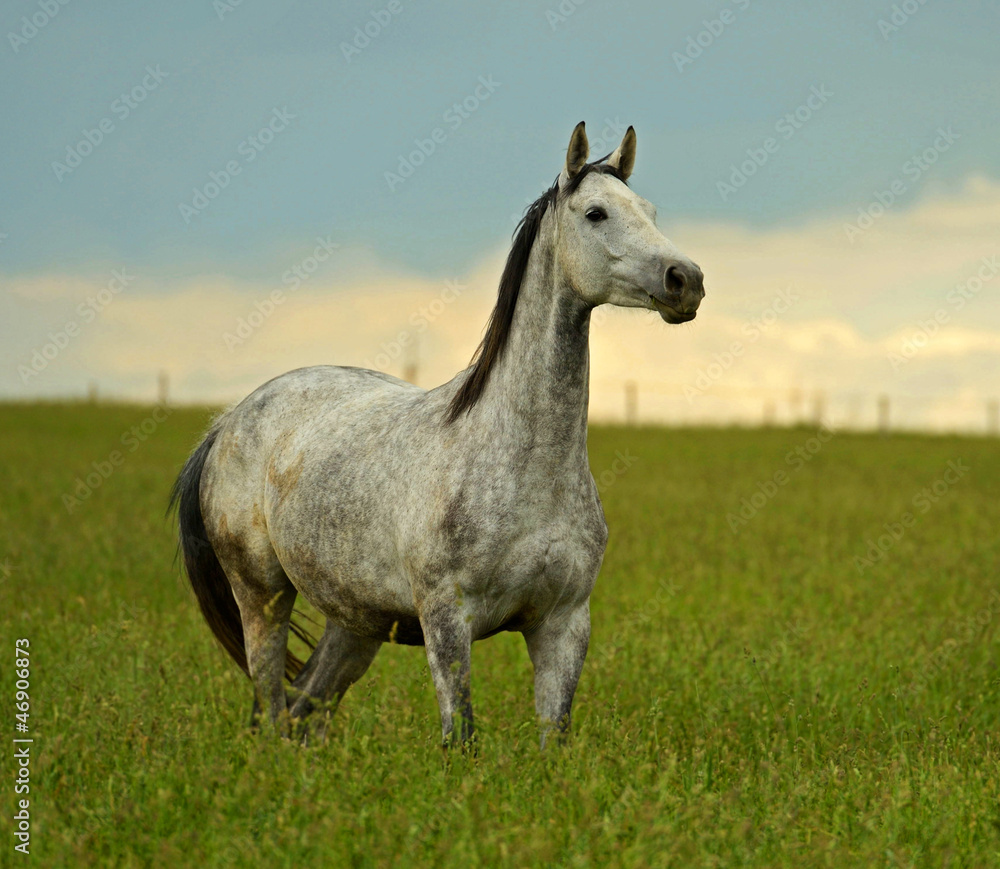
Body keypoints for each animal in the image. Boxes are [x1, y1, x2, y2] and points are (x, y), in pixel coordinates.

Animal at [171, 121, 705, 747]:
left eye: (650, 211)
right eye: (596, 213)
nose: (686, 280)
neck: (521, 463)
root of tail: (228, 422)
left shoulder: (564, 625)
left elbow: (554, 740)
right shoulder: (447, 622)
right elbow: (461, 737)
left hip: (355, 625)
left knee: (306, 712)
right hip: (262, 597)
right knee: (273, 709)